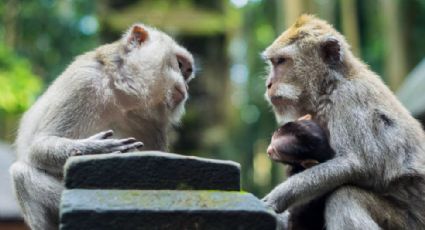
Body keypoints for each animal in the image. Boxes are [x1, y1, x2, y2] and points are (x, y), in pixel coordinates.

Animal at [8, 23, 194, 230]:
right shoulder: (83, 81)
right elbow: (38, 146)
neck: (122, 97)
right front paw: (95, 149)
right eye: (179, 65)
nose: (186, 86)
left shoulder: (154, 125)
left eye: (187, 72)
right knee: (21, 174)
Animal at [260, 14, 424, 230]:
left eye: (281, 62)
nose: (269, 84)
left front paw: (278, 197)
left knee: (344, 198)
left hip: (410, 221)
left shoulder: (348, 99)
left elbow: (356, 164)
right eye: (274, 62)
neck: (330, 85)